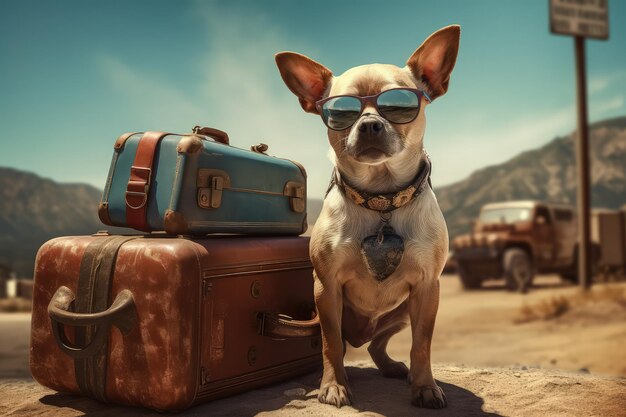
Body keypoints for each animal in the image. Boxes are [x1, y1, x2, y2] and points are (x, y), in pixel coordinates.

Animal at [272, 25, 458, 406]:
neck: (381, 199)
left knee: (376, 345)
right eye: (340, 112)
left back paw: (395, 368)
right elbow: (330, 344)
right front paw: (333, 385)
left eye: (399, 105)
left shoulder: (427, 290)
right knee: (348, 345)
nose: (370, 125)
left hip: (401, 312)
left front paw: (425, 386)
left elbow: (422, 344)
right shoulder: (326, 289)